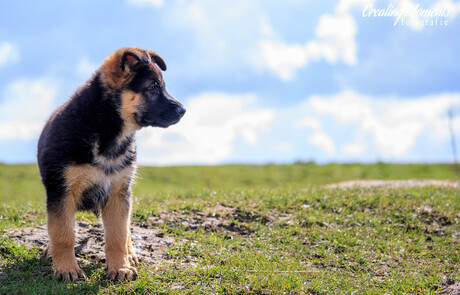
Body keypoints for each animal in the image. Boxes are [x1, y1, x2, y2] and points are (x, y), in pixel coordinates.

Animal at [37, 48, 185, 282]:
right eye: (153, 88)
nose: (183, 110)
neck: (107, 132)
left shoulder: (118, 192)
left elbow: (118, 234)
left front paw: (120, 267)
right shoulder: (61, 192)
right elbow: (63, 234)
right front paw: (66, 268)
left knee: (126, 229)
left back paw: (130, 253)